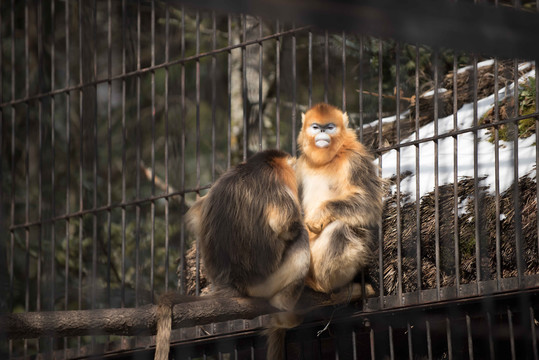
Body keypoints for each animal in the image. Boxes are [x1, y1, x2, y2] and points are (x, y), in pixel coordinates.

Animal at [154, 148, 310, 360]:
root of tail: (231, 285)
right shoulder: (276, 181)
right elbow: (287, 225)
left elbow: (195, 214)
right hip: (266, 282)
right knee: (301, 237)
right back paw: (285, 312)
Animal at [296, 102, 384, 294]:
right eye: (316, 127)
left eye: (330, 127)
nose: (322, 132)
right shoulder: (300, 164)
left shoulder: (355, 160)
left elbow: (369, 204)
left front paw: (319, 215)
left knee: (340, 228)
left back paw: (324, 285)